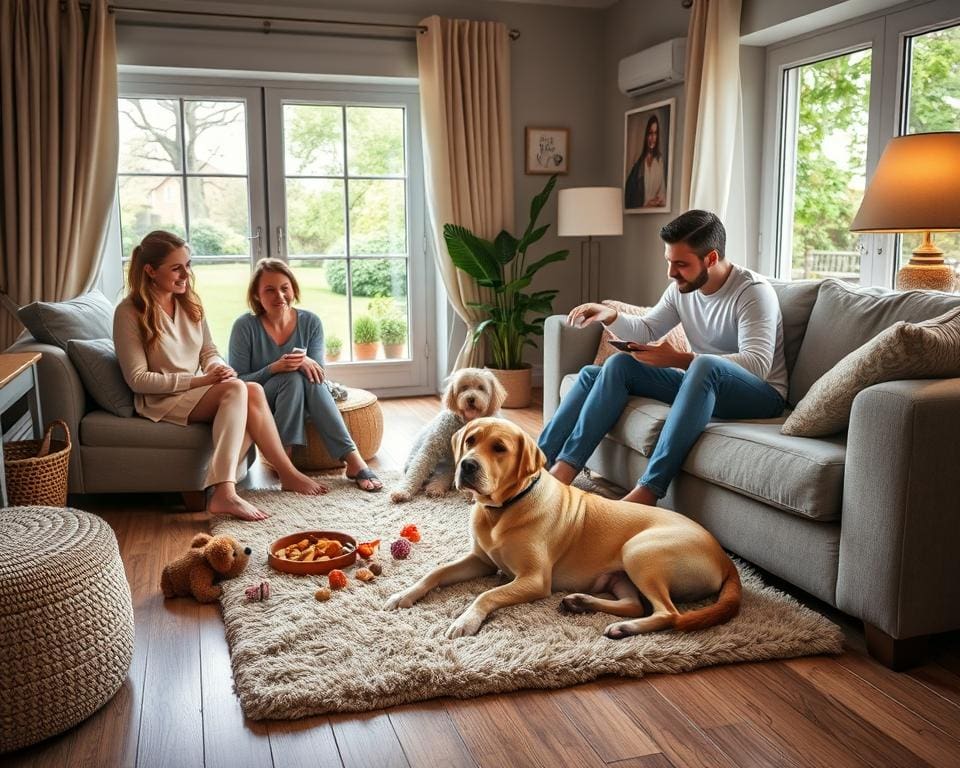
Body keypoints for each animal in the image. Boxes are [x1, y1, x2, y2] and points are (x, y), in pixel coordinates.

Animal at [384, 416, 744, 640]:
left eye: (499, 448)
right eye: (470, 440)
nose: (467, 465)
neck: (502, 510)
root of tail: (725, 558)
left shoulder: (533, 579)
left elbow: (488, 593)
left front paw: (465, 619)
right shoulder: (480, 560)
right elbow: (435, 573)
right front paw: (404, 594)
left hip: (640, 550)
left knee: (668, 613)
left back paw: (624, 628)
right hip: (621, 575)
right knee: (635, 604)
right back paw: (585, 604)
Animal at [392, 368, 510, 504]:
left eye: (481, 388)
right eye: (464, 387)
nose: (470, 398)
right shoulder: (430, 450)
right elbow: (416, 471)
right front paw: (402, 491)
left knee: (442, 477)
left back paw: (435, 488)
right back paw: (434, 488)